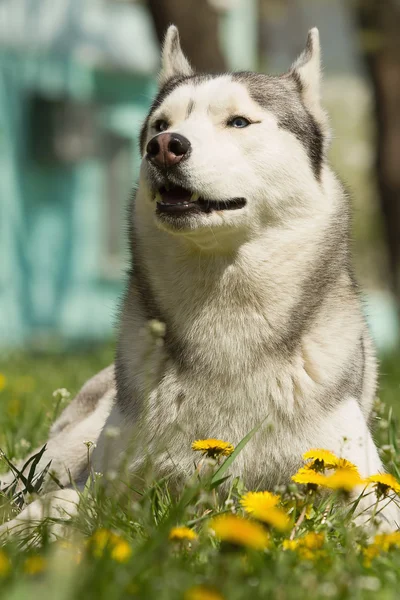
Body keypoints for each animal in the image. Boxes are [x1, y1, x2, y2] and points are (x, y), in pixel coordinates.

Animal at [1, 27, 398, 536]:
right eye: (159, 124)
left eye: (239, 122)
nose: (164, 146)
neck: (225, 308)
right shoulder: (109, 483)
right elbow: (65, 502)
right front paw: (22, 531)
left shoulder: (359, 481)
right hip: (62, 450)